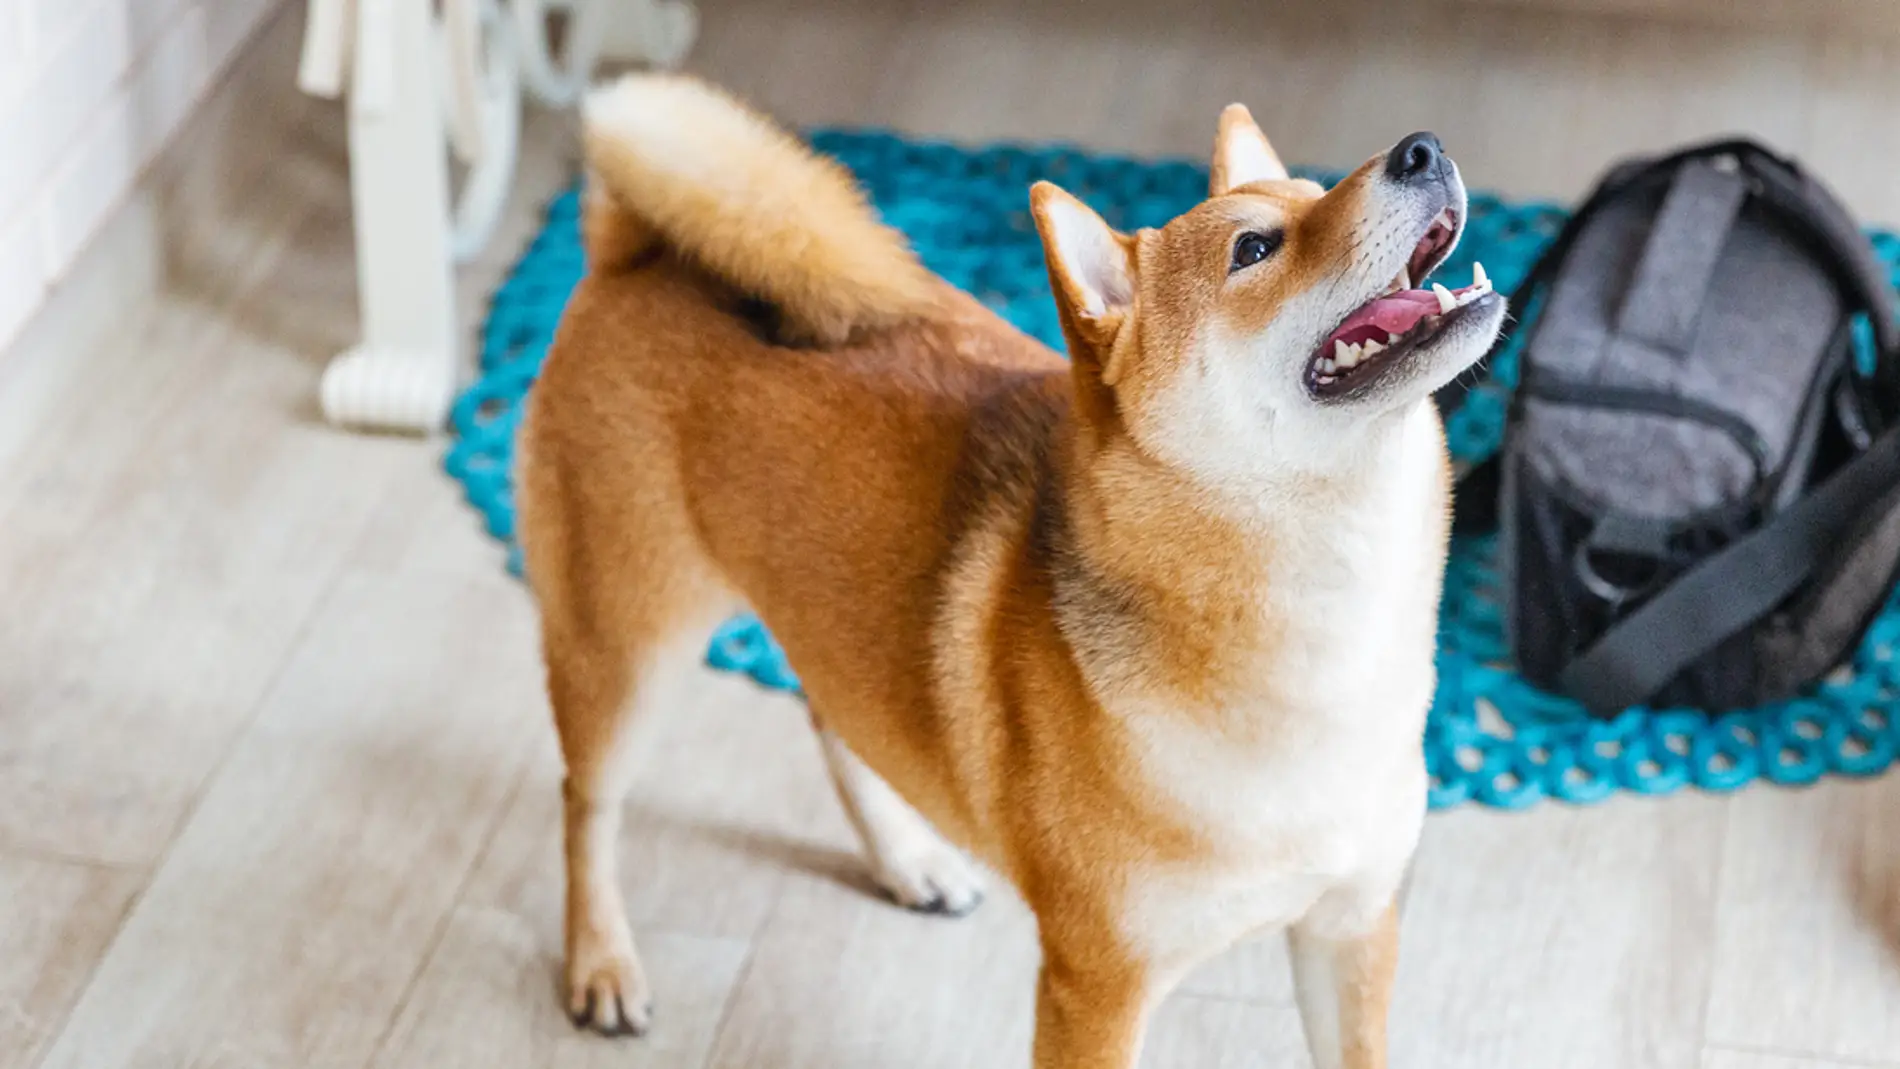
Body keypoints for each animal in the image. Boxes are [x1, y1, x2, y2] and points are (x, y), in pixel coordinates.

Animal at [520, 75, 1497, 1069]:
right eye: (1255, 248)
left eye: (1312, 190)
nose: (1421, 148)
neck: (1328, 626)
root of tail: (636, 256)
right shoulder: (1099, 985)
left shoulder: (1351, 928)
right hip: (625, 646)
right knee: (586, 802)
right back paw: (601, 959)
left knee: (833, 718)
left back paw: (907, 858)